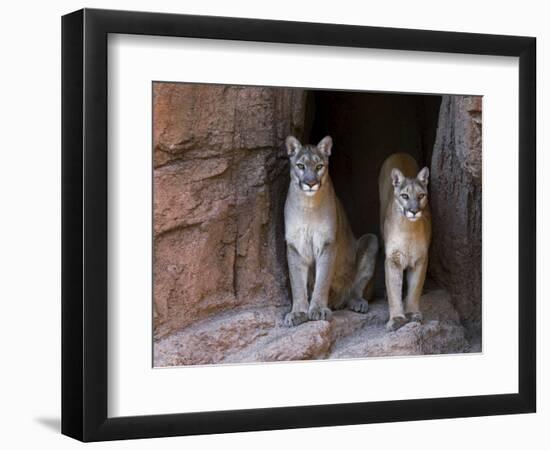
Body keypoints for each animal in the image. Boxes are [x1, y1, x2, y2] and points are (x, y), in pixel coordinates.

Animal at [284, 134, 380, 326]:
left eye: (319, 166)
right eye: (301, 166)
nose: (311, 183)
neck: (308, 205)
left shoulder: (327, 243)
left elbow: (322, 280)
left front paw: (318, 309)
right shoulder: (294, 246)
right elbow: (297, 283)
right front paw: (298, 312)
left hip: (371, 240)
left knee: (356, 289)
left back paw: (357, 303)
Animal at [382, 153, 434, 332]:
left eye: (421, 196)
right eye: (405, 196)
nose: (414, 210)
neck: (408, 230)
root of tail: (400, 153)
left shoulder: (421, 259)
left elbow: (415, 288)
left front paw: (412, 313)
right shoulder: (392, 259)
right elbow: (393, 290)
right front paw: (396, 318)